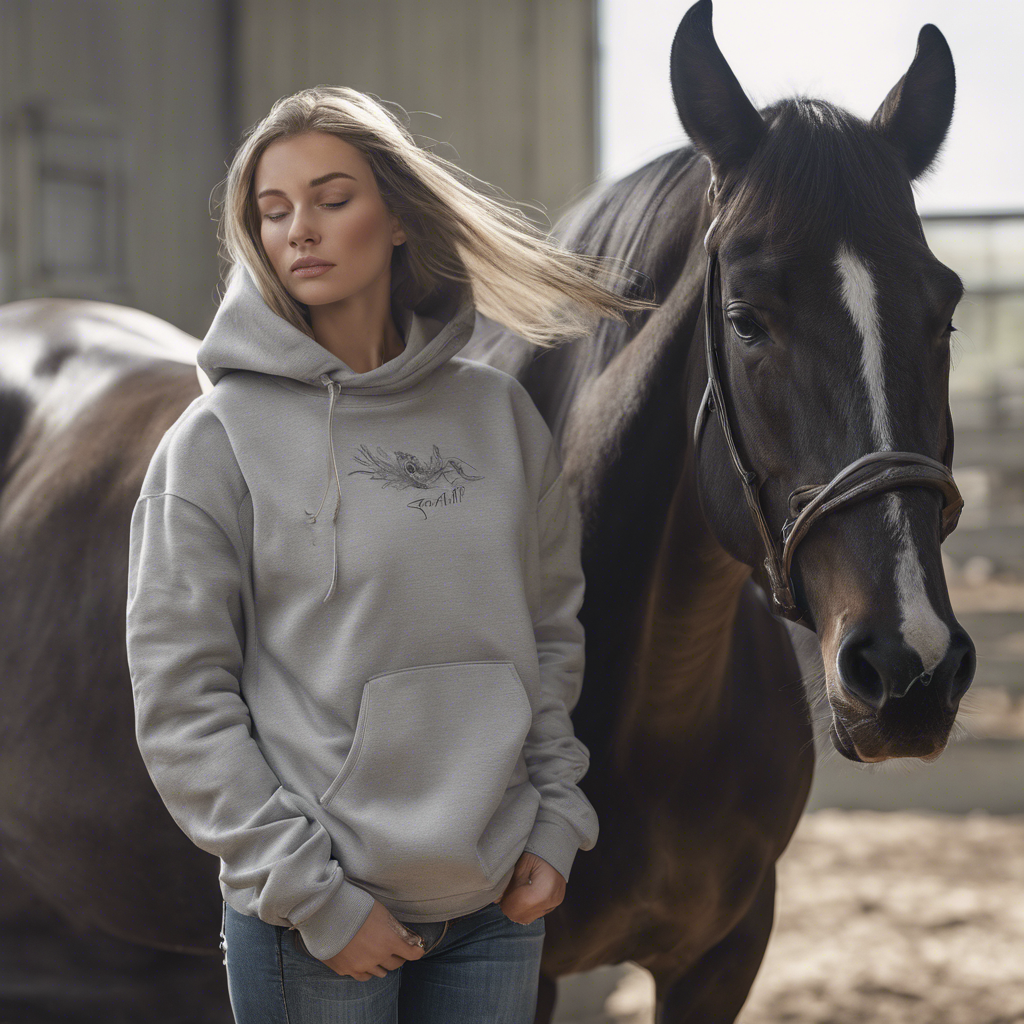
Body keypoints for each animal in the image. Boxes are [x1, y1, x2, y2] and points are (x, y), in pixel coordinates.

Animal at [0, 2, 975, 1021]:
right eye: (747, 318)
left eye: (943, 310)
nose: (909, 668)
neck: (660, 708)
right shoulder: (533, 969)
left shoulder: (723, 957)